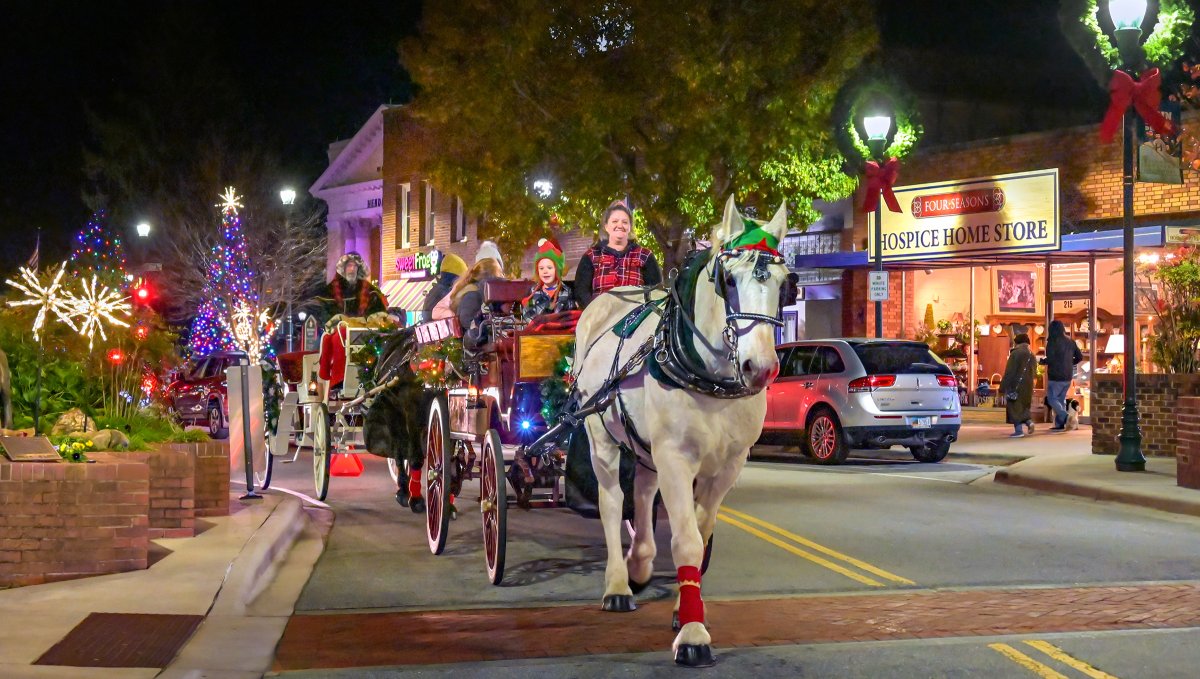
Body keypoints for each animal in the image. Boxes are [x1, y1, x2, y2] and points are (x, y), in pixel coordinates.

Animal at [571, 194, 787, 667]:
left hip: (646, 446)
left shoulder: (728, 465)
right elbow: (686, 541)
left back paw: (640, 563)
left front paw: (686, 610)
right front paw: (692, 635)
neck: (709, 377)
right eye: (728, 280)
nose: (760, 368)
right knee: (611, 502)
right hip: (600, 436)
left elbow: (701, 535)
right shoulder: (675, 456)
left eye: (787, 282)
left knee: (642, 492)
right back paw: (618, 584)